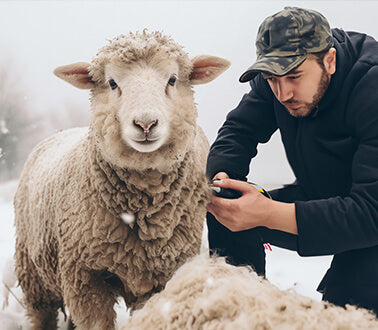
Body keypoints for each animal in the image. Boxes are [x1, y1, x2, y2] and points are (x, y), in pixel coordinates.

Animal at [14, 29, 230, 328]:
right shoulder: (84, 277)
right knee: (42, 313)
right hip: (34, 273)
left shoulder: (163, 274)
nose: (146, 124)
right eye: (112, 82)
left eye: (172, 79)